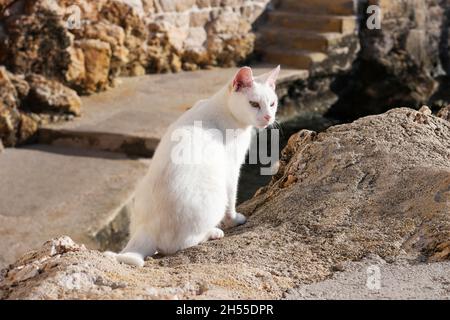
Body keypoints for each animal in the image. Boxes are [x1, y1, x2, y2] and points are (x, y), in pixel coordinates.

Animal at [114, 66, 280, 266]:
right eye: (254, 104)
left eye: (272, 104)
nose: (268, 117)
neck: (222, 107)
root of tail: (146, 229)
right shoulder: (232, 169)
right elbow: (232, 201)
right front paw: (234, 220)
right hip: (213, 194)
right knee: (181, 244)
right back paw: (212, 232)